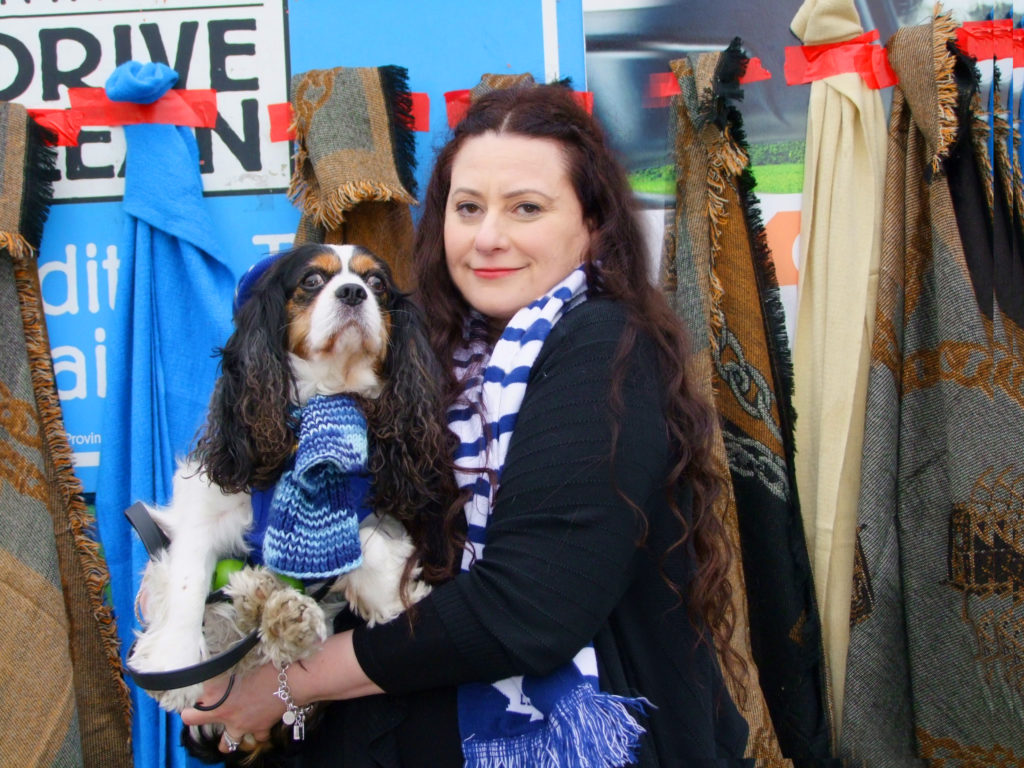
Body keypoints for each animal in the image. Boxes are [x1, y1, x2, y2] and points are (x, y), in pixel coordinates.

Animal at [126, 244, 452, 757]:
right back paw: (257, 601)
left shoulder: (369, 494)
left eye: (377, 284)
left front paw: (389, 598)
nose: (353, 293)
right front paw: (173, 661)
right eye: (312, 281)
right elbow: (185, 581)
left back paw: (280, 614)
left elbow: (368, 541)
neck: (326, 396)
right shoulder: (203, 508)